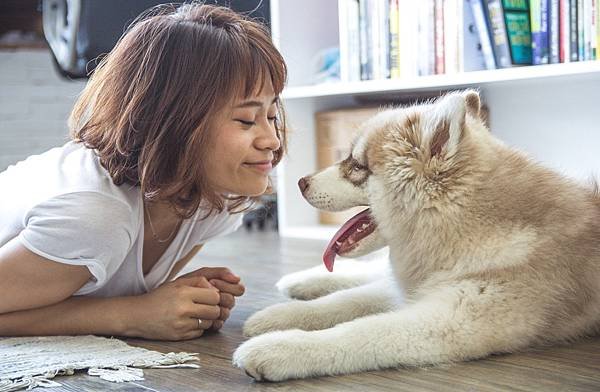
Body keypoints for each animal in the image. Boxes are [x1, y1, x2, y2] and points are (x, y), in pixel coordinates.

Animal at [231, 90, 600, 382]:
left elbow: (361, 331)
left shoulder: (451, 318)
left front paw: (280, 347)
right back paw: (300, 282)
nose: (299, 182)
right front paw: (277, 317)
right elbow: (343, 302)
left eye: (357, 166)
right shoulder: (418, 288)